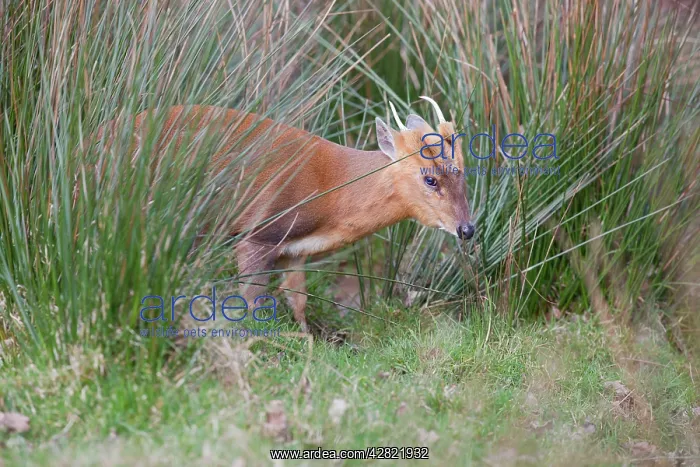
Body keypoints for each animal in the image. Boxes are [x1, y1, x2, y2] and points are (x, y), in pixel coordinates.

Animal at [80, 97, 474, 333]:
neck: (331, 191)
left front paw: (309, 344)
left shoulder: (293, 251)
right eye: (429, 178)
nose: (467, 229)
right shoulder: (257, 232)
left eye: (464, 171)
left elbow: (297, 300)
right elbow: (250, 300)